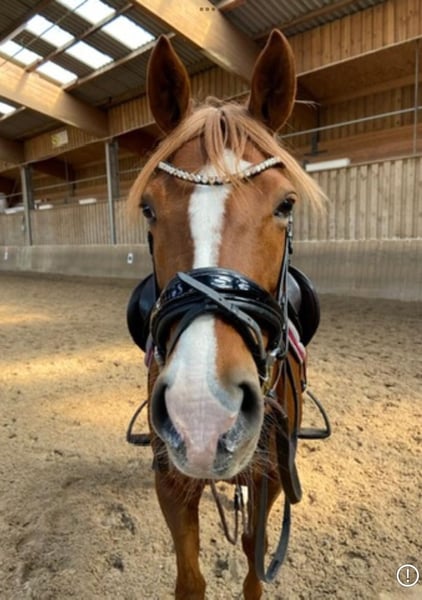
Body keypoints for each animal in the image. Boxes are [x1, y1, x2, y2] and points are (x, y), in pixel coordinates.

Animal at [126, 30, 327, 600]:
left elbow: (255, 563)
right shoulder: (170, 479)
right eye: (149, 208)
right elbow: (189, 579)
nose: (202, 413)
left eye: (285, 205)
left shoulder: (272, 479)